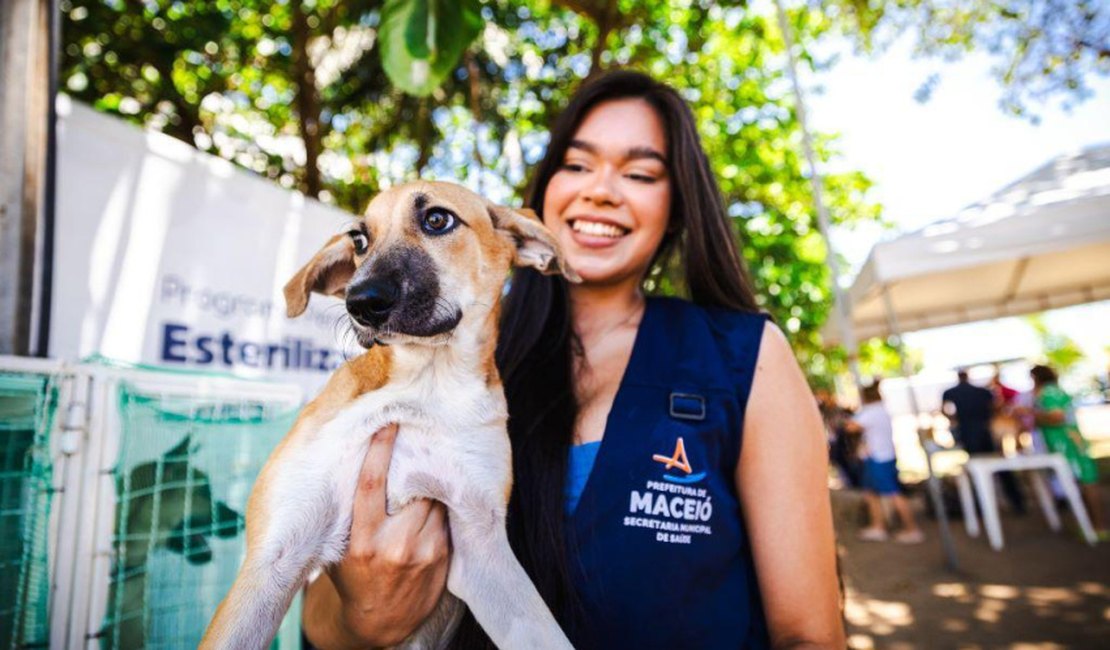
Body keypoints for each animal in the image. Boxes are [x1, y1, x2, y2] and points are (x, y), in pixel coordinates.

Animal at [202, 178, 581, 647]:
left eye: (437, 219)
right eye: (360, 240)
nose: (360, 302)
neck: (425, 386)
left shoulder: (483, 545)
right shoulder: (274, 555)